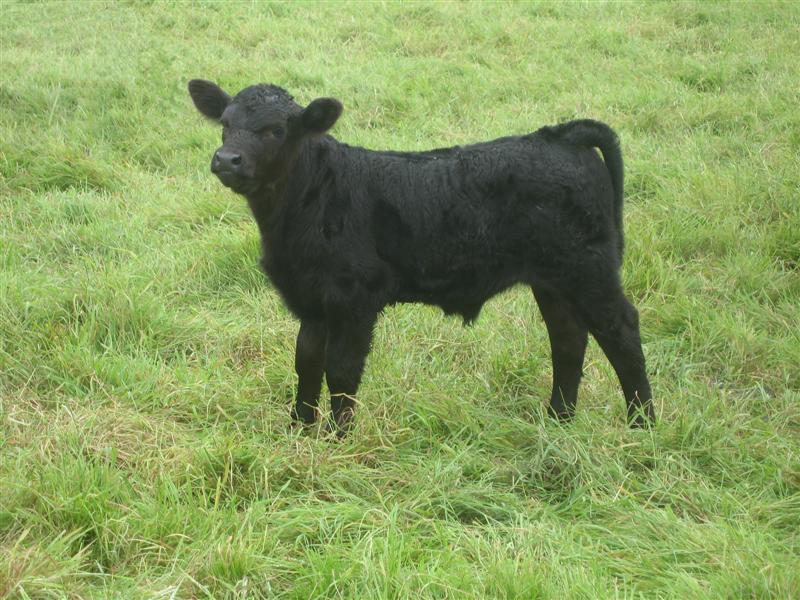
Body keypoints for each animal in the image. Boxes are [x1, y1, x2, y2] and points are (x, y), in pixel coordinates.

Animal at [187, 79, 655, 436]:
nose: (226, 160)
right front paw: (299, 433)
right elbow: (307, 363)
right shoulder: (310, 300)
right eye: (226, 124)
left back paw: (642, 425)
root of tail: (558, 136)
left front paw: (338, 441)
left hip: (588, 269)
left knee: (621, 331)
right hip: (553, 278)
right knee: (568, 338)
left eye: (276, 131)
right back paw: (558, 420)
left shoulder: (354, 299)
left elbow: (341, 370)